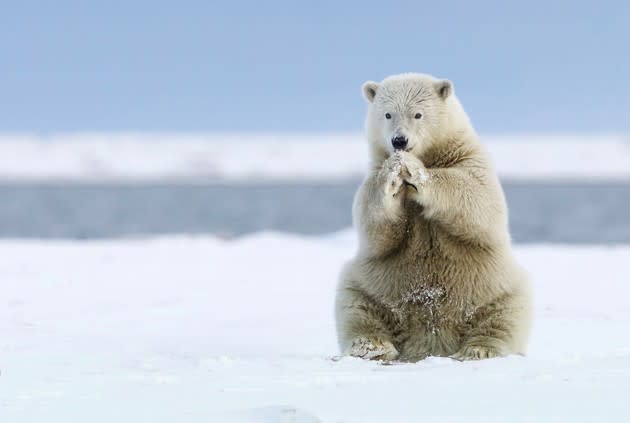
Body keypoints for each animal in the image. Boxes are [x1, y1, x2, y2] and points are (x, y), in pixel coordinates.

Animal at [336, 73, 532, 362]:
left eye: (418, 114)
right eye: (387, 114)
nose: (399, 141)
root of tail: (430, 343)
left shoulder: (470, 160)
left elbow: (477, 198)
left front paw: (414, 170)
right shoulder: (371, 174)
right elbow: (374, 226)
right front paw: (393, 173)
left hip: (494, 285)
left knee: (504, 314)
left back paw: (479, 348)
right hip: (374, 284)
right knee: (357, 305)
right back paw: (373, 346)